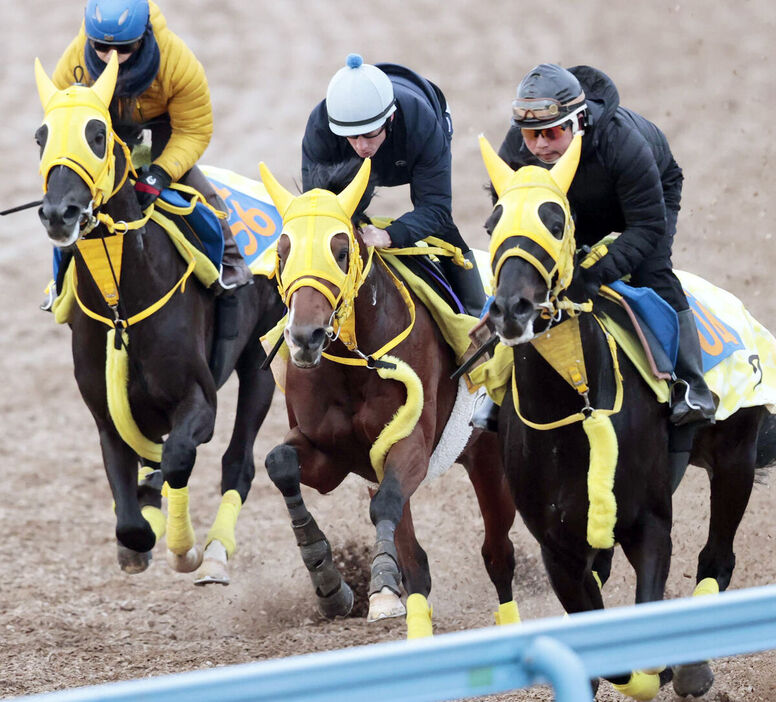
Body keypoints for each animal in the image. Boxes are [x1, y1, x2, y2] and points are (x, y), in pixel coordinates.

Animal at [32, 55, 284, 584]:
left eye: (98, 133)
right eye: (41, 137)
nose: (60, 213)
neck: (121, 307)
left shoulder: (199, 401)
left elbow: (178, 458)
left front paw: (184, 550)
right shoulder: (106, 418)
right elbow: (130, 521)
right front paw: (141, 526)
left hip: (258, 356)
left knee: (239, 459)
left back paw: (215, 552)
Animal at [258, 158, 520, 640]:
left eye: (341, 250)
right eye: (282, 252)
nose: (304, 338)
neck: (353, 363)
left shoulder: (411, 443)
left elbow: (384, 504)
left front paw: (380, 582)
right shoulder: (332, 457)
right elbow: (280, 463)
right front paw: (329, 582)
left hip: (489, 458)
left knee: (497, 553)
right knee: (419, 557)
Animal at [478, 132, 776, 700]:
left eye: (557, 219)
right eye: (491, 224)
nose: (511, 309)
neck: (576, 406)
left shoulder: (650, 524)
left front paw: (662, 667)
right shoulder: (558, 549)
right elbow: (599, 635)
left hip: (736, 456)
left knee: (718, 558)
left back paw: (693, 667)